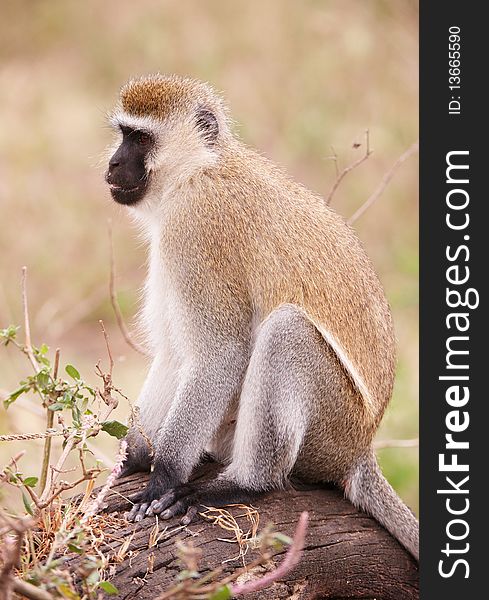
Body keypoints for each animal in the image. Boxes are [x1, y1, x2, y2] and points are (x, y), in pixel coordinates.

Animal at [105, 74, 418, 556]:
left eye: (140, 139)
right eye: (123, 134)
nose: (113, 163)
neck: (198, 169)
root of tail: (360, 450)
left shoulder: (196, 229)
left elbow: (218, 354)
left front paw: (164, 476)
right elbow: (175, 354)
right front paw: (137, 454)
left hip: (330, 431)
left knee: (288, 331)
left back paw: (246, 483)